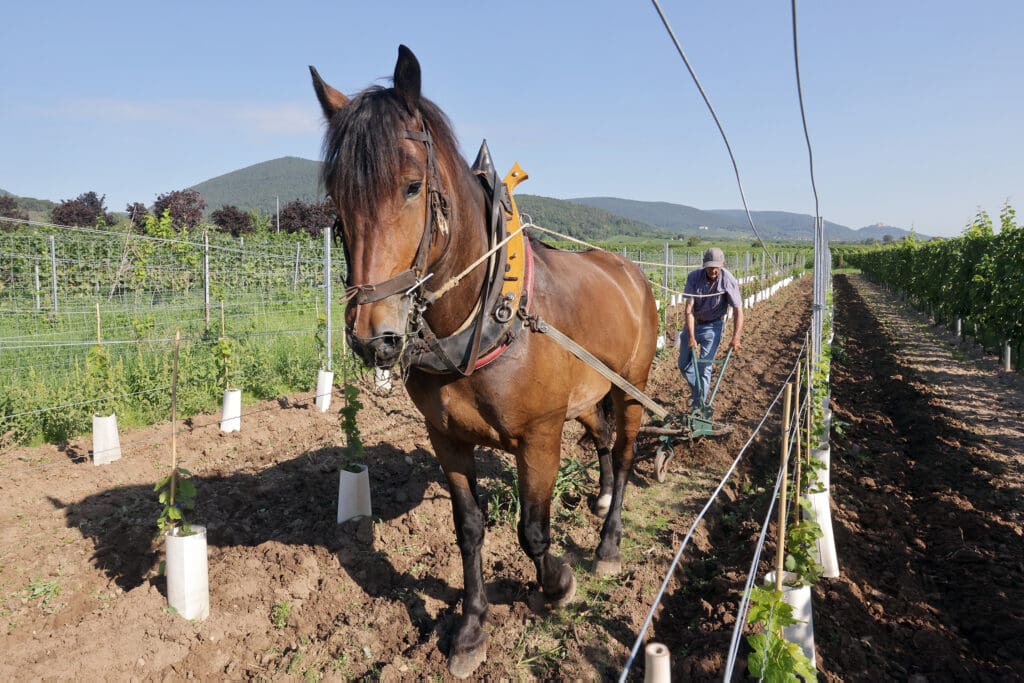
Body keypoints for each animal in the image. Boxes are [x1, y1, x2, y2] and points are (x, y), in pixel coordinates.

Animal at [307, 44, 655, 679]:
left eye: (412, 186)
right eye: (336, 198)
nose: (374, 338)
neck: (482, 319)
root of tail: (630, 271)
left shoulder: (540, 436)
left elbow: (533, 529)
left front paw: (556, 584)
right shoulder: (446, 436)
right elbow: (469, 528)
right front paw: (470, 630)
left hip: (631, 385)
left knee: (623, 454)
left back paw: (608, 542)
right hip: (590, 392)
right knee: (601, 439)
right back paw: (596, 500)